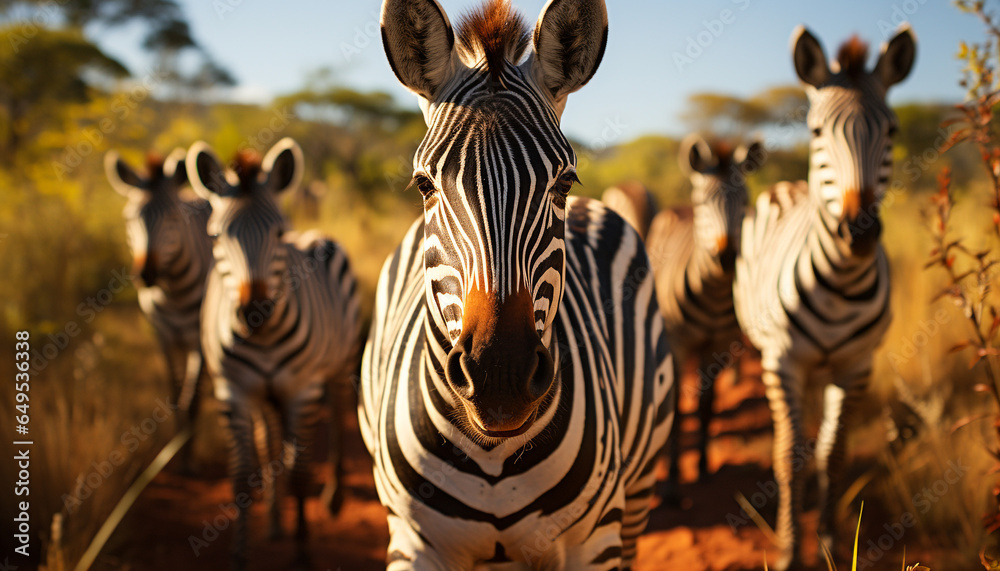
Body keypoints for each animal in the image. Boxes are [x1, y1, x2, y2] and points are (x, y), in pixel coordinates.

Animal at [105, 149, 212, 454]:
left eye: (174, 216)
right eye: (129, 218)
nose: (146, 274)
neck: (174, 293)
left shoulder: (198, 340)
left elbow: (192, 401)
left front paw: (187, 452)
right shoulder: (163, 336)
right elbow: (176, 398)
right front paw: (180, 450)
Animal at [186, 138, 361, 569]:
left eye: (278, 233)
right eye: (216, 236)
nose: (255, 312)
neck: (264, 337)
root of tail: (313, 233)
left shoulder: (303, 389)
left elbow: (300, 471)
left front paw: (301, 553)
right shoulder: (232, 390)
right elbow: (241, 475)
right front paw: (240, 554)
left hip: (339, 364)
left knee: (338, 412)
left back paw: (333, 497)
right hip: (266, 393)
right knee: (270, 438)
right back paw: (275, 520)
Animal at [361, 0, 673, 568]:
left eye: (563, 182)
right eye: (424, 184)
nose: (499, 377)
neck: (495, 456)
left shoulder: (594, 543)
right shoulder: (415, 542)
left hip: (637, 492)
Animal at [643, 134, 763, 501]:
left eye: (745, 201)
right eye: (703, 202)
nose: (726, 256)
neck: (714, 294)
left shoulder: (719, 344)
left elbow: (707, 404)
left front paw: (704, 469)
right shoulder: (677, 343)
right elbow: (678, 410)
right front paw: (670, 484)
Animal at [733, 26, 915, 569]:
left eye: (892, 132)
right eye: (816, 132)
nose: (859, 231)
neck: (842, 283)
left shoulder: (856, 365)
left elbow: (834, 455)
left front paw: (833, 541)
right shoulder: (782, 361)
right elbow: (788, 455)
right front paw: (792, 549)